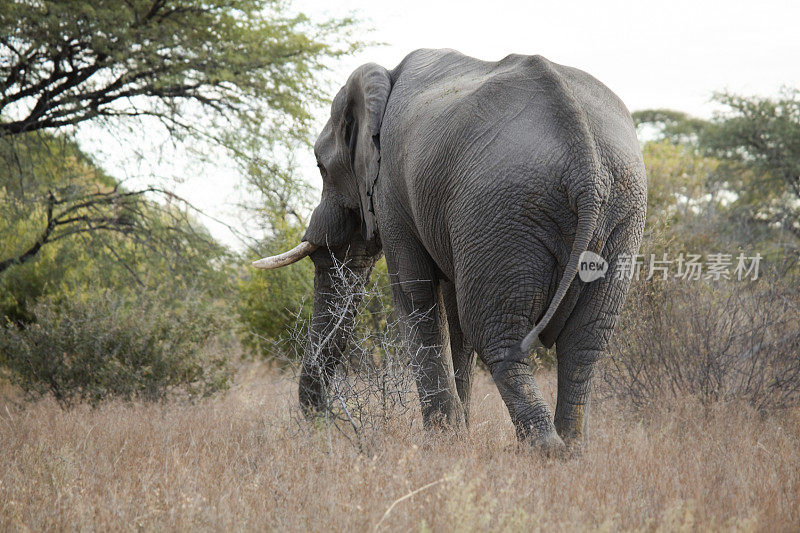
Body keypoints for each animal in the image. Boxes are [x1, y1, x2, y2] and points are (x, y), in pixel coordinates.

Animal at [253, 47, 648, 450]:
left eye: (320, 167)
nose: (326, 429)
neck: (383, 78)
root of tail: (587, 168)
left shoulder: (392, 186)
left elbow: (415, 294)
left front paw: (442, 444)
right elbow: (453, 314)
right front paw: (460, 438)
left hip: (504, 208)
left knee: (498, 336)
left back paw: (544, 453)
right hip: (619, 218)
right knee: (585, 342)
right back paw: (572, 452)